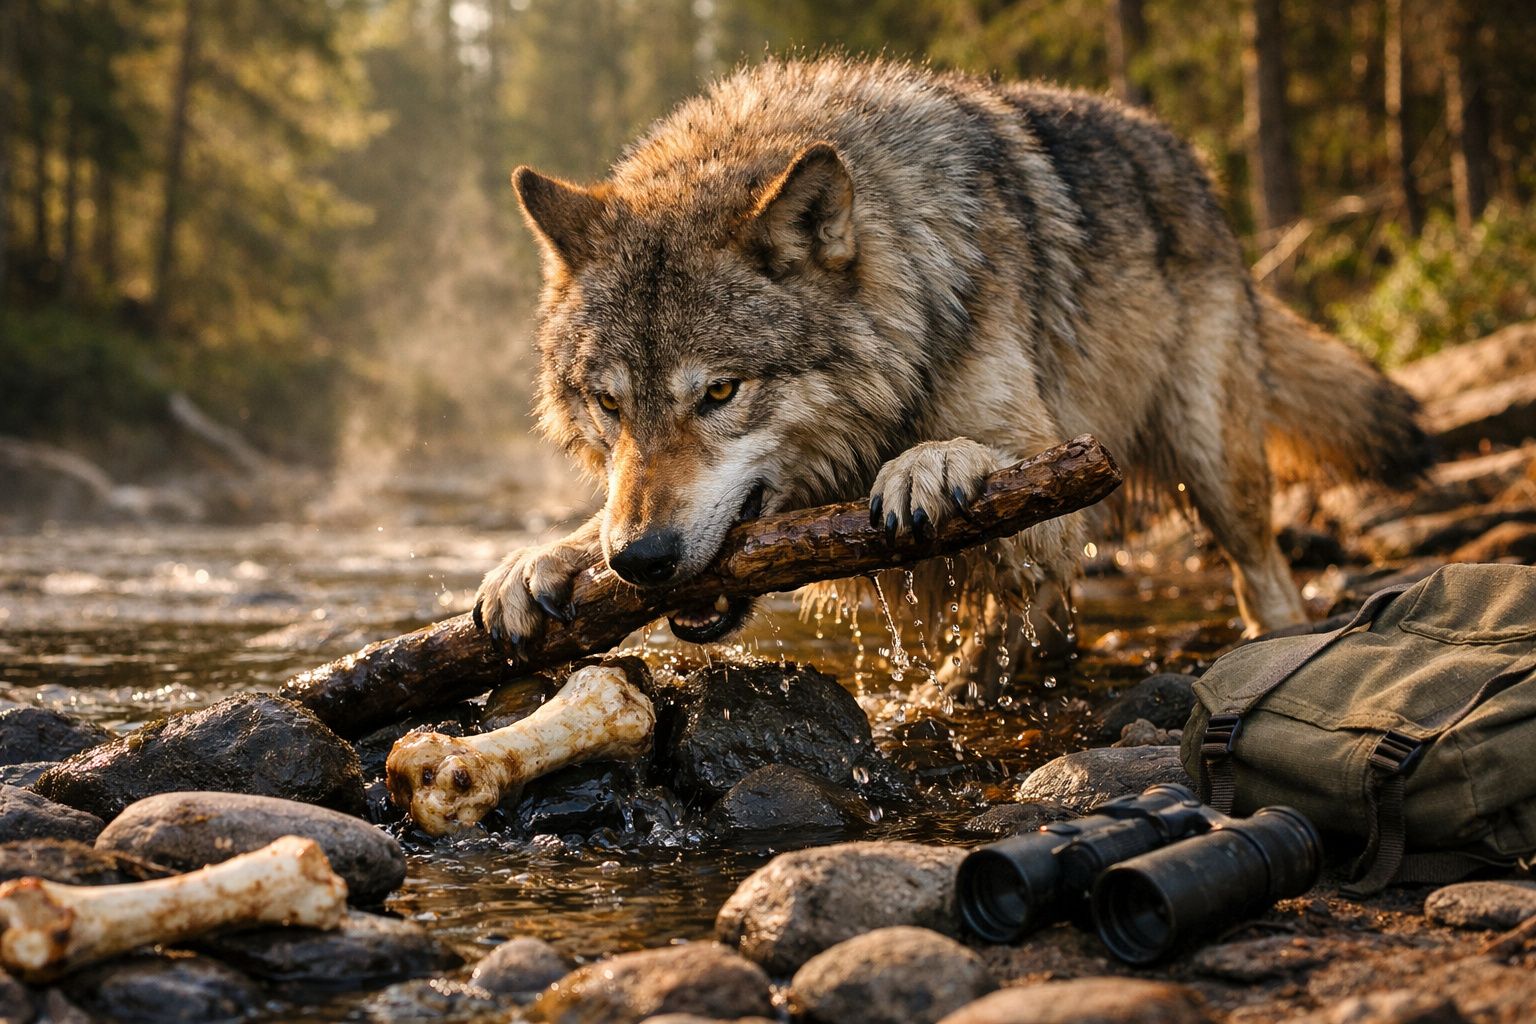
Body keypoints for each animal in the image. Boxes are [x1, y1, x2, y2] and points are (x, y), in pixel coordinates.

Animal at [472, 58, 1424, 694]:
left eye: (719, 393)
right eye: (609, 404)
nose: (639, 560)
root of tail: (1190, 161)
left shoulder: (1052, 453)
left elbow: (987, 462)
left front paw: (932, 463)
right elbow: (586, 521)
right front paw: (538, 559)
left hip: (1212, 461)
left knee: (1260, 571)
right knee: (1041, 598)